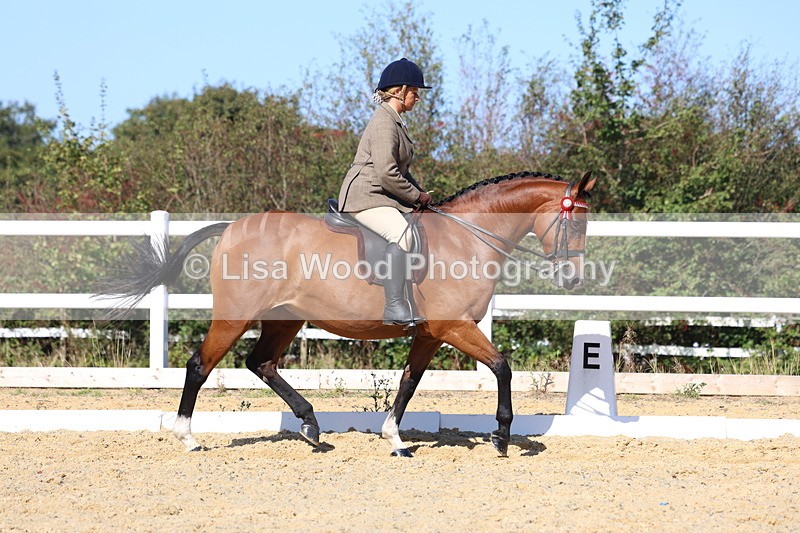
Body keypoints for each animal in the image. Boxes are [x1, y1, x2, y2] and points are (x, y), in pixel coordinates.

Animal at [99, 170, 596, 457]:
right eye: (576, 220)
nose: (573, 280)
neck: (467, 237)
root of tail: (232, 227)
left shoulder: (431, 333)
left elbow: (409, 382)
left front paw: (395, 439)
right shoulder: (454, 326)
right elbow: (502, 366)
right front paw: (502, 437)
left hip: (285, 318)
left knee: (261, 363)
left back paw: (311, 426)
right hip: (236, 316)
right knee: (200, 365)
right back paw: (188, 437)